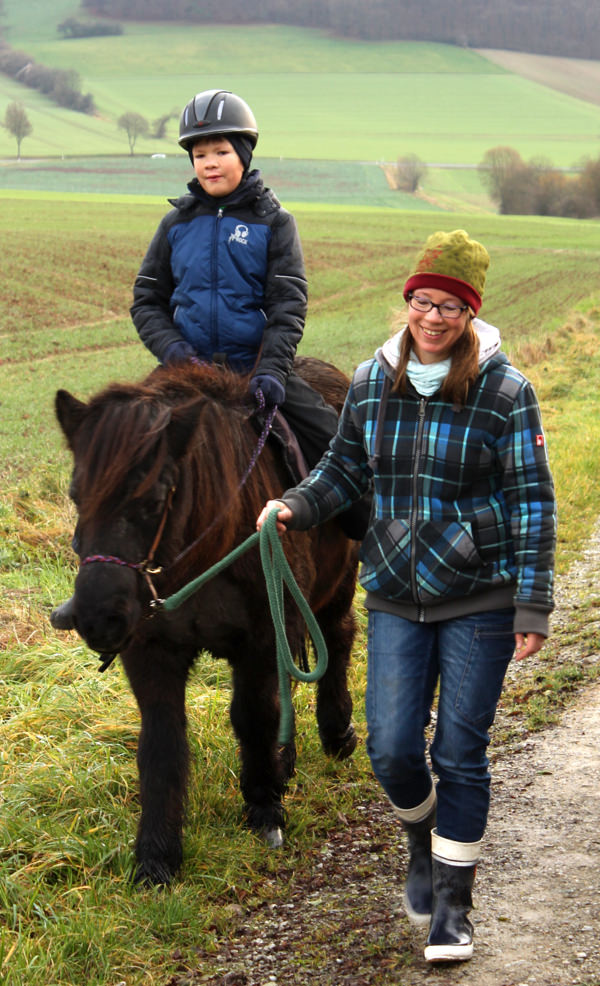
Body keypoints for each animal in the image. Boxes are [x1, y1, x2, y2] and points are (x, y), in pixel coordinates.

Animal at [54, 356, 358, 884]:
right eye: (76, 496)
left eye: (154, 500)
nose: (97, 618)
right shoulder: (151, 655)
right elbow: (161, 743)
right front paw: (156, 855)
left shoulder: (260, 641)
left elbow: (253, 717)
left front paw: (263, 809)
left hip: (336, 589)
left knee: (337, 641)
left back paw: (336, 733)